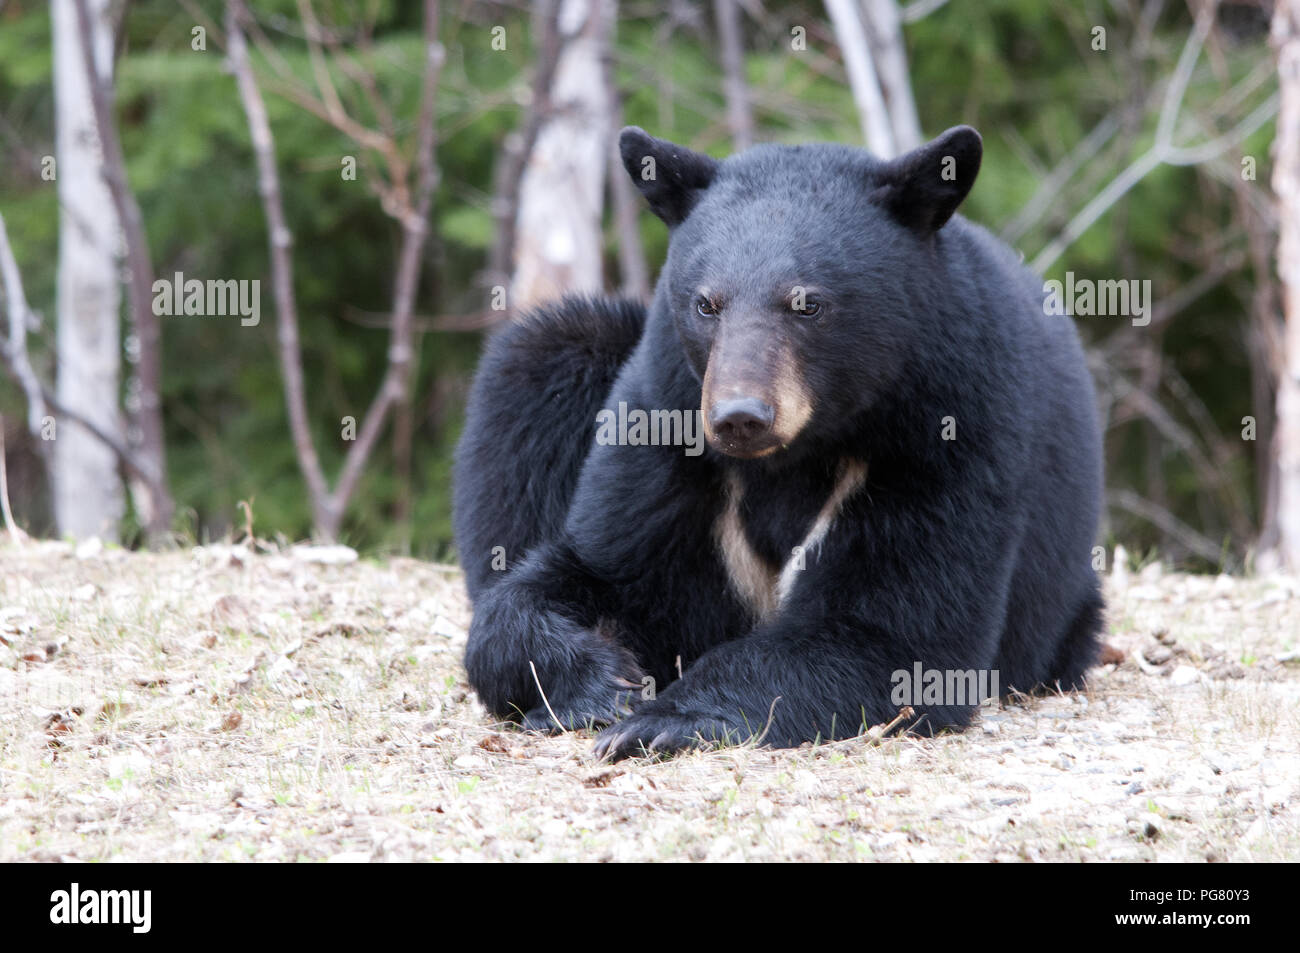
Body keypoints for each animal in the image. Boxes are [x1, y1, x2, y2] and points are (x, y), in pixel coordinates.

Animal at [452, 122, 1102, 759]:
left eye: (807, 303)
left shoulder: (950, 432)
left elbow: (897, 633)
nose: (740, 416)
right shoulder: (663, 417)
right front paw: (600, 682)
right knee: (543, 361)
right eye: (706, 303)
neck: (795, 455)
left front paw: (663, 720)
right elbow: (593, 572)